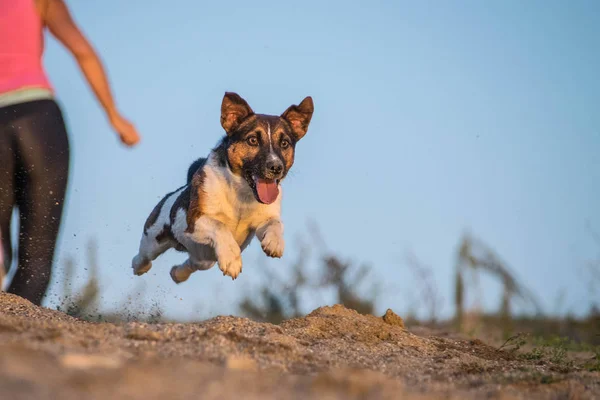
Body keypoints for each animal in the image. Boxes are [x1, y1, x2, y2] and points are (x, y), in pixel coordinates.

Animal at [129, 92, 312, 282]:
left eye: (285, 143)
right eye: (253, 140)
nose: (276, 167)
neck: (243, 194)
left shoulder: (263, 219)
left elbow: (275, 222)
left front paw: (275, 243)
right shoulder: (195, 219)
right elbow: (220, 226)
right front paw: (232, 261)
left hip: (205, 258)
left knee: (192, 263)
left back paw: (178, 274)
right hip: (153, 238)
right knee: (143, 256)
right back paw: (140, 267)